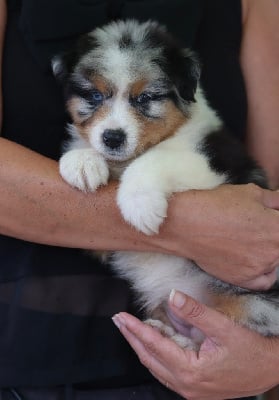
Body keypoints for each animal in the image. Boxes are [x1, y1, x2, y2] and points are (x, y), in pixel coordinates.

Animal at [53, 20, 279, 348]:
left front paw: (140, 207)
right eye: (94, 96)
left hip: (255, 302)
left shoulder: (214, 166)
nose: (113, 138)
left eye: (145, 98)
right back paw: (167, 334)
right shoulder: (101, 245)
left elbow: (156, 158)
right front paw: (81, 161)